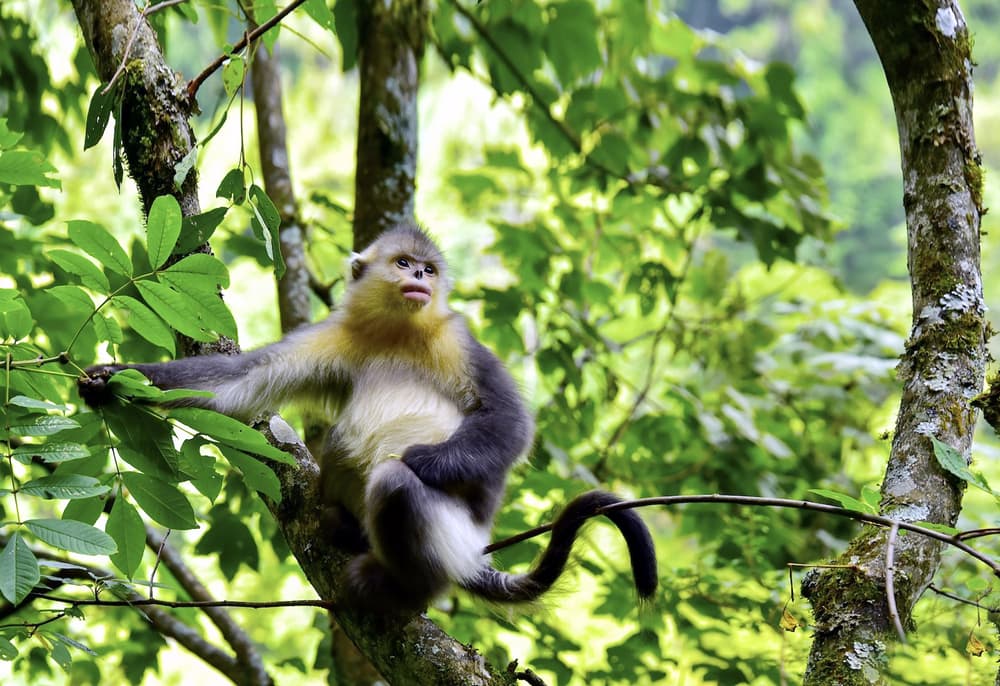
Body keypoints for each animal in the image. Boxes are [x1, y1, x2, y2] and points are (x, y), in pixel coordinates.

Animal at [79, 223, 658, 614]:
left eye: (428, 270)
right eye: (403, 264)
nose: (419, 277)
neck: (399, 332)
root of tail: (473, 553)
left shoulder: (458, 338)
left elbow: (510, 421)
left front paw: (427, 459)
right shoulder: (337, 335)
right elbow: (238, 384)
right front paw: (112, 379)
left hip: (449, 533)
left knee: (394, 482)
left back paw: (403, 584)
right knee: (339, 443)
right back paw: (347, 528)